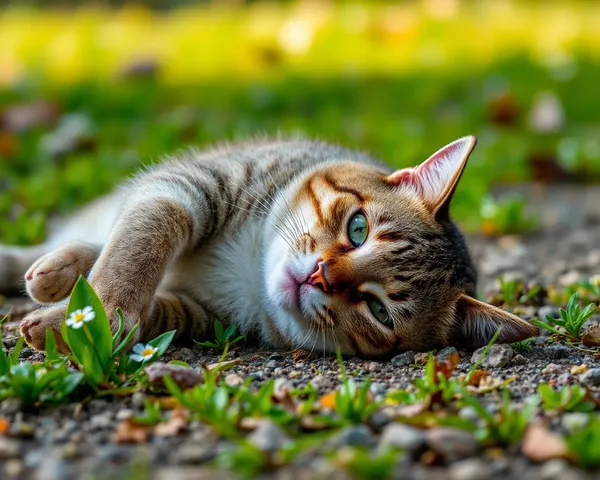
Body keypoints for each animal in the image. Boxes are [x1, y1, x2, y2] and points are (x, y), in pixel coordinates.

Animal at [0, 135, 536, 356]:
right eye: (358, 228)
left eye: (380, 312)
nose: (319, 275)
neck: (251, 270)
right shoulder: (189, 185)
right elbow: (138, 247)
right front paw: (94, 307)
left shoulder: (200, 315)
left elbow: (154, 310)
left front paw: (85, 320)